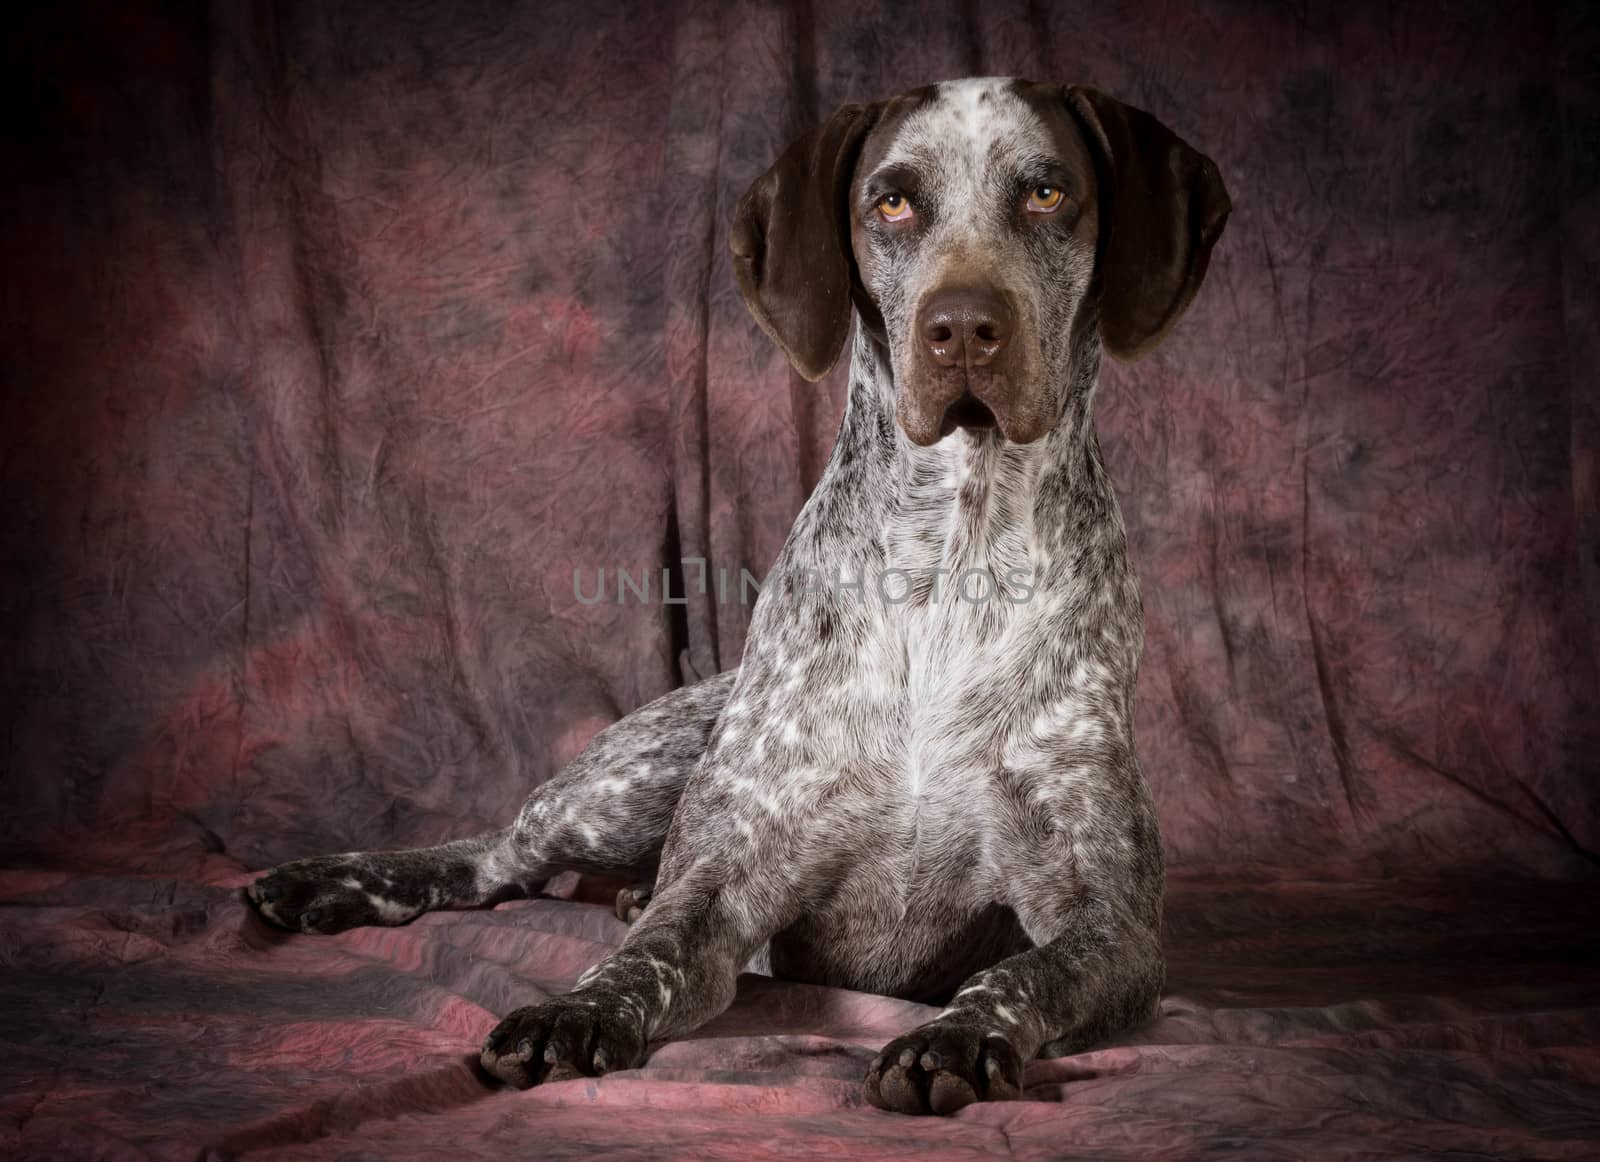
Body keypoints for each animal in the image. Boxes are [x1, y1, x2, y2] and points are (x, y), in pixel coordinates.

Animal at [246, 77, 1222, 1113]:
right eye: (892, 201)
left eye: (1045, 193)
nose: (961, 327)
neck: (949, 561)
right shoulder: (727, 875)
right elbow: (647, 955)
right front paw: (576, 1009)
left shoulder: (1111, 925)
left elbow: (1019, 972)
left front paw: (954, 1036)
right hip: (619, 789)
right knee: (494, 855)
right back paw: (324, 883)